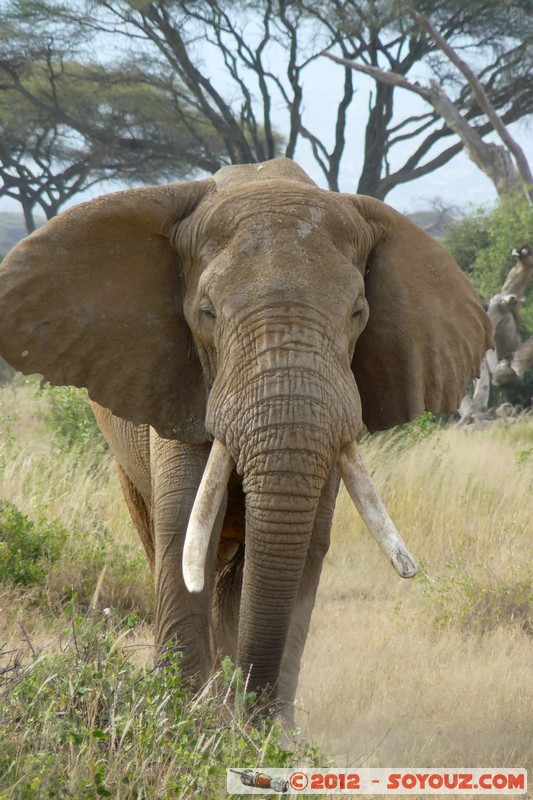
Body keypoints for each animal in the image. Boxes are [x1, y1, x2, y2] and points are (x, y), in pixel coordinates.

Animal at [0, 158, 490, 724]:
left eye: (358, 313)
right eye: (207, 312)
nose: (252, 715)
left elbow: (305, 546)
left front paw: (266, 735)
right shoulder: (180, 386)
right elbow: (183, 529)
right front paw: (183, 724)